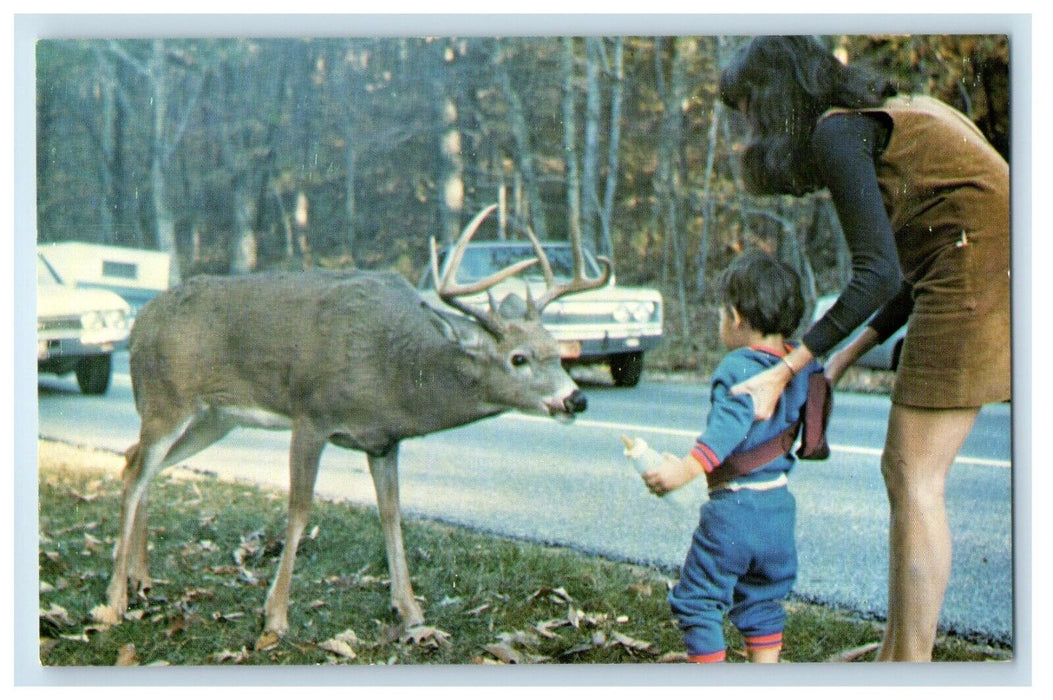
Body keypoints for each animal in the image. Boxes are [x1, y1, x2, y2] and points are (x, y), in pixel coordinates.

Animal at [96, 203, 614, 640]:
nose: (577, 399)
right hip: (165, 401)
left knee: (136, 463)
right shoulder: (311, 416)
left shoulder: (383, 441)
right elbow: (300, 511)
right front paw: (275, 616)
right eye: (518, 358)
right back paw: (115, 600)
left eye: (557, 349)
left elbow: (392, 514)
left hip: (213, 419)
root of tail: (138, 324)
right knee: (136, 472)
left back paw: (141, 578)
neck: (394, 372)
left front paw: (410, 611)